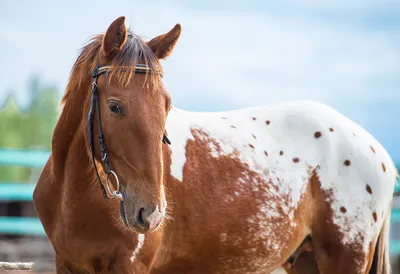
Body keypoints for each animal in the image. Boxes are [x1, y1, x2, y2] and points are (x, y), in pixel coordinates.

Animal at [33, 16, 396, 272]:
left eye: (166, 105)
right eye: (114, 106)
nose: (150, 213)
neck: (75, 193)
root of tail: (377, 152)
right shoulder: (67, 265)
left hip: (345, 258)